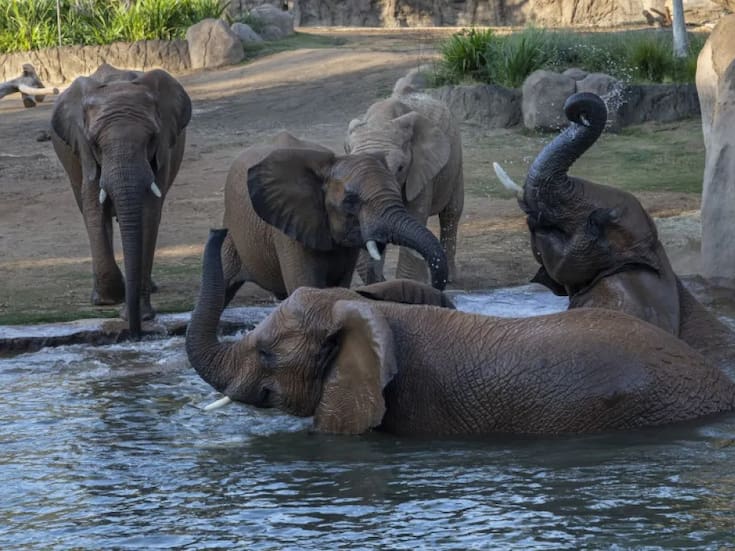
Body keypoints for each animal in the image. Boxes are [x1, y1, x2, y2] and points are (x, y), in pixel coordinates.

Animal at [51, 63, 191, 338]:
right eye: (95, 143)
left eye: (151, 138)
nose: (134, 333)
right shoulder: (83, 150)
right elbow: (93, 204)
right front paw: (111, 298)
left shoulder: (163, 150)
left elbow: (149, 212)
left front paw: (140, 313)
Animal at [345, 92, 464, 285]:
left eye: (400, 168)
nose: (382, 279)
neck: (381, 119)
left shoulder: (420, 168)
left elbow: (416, 215)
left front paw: (408, 285)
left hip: (456, 160)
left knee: (451, 212)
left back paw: (451, 279)